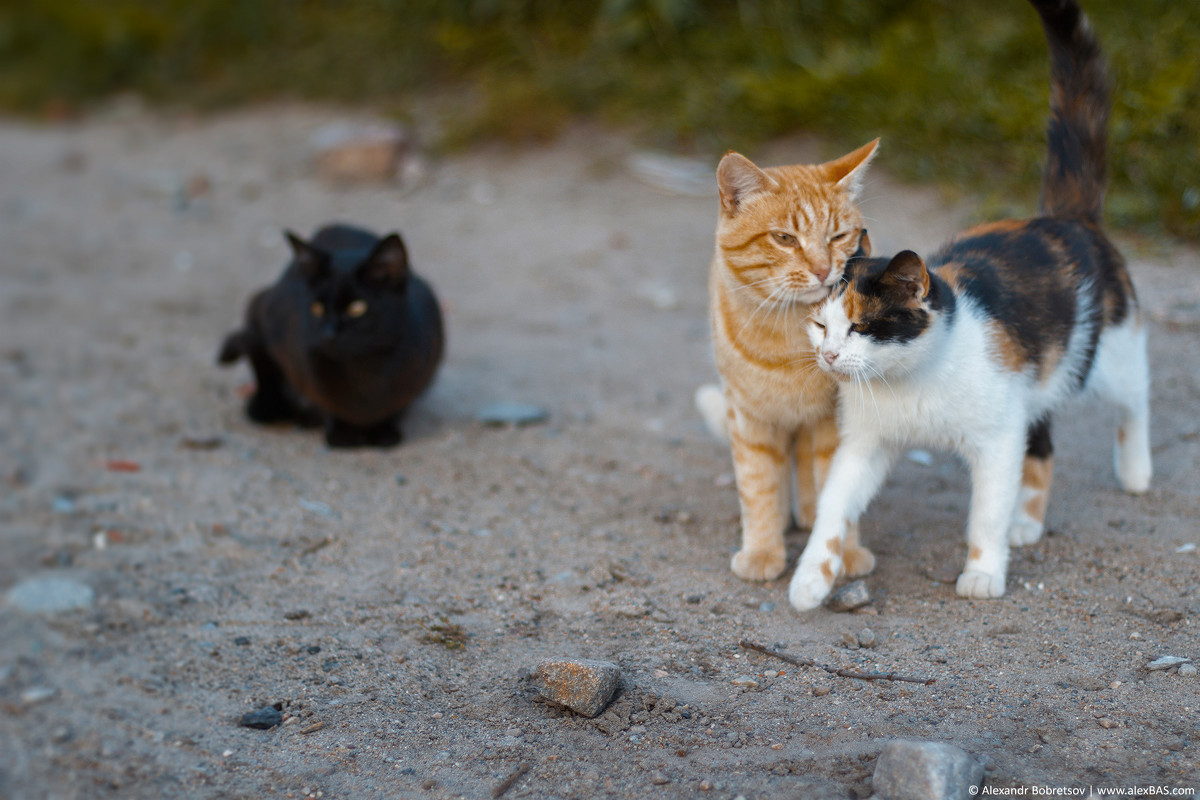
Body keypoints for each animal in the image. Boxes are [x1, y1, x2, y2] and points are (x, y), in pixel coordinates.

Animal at [218, 224, 444, 450]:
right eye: (317, 308)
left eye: (357, 308)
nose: (329, 333)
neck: (365, 371)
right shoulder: (270, 316)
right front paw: (342, 433)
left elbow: (396, 405)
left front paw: (383, 430)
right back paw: (268, 407)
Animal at [696, 142, 883, 582]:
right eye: (784, 238)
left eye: (838, 236)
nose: (822, 269)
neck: (790, 339)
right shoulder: (749, 418)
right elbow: (758, 485)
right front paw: (763, 550)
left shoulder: (835, 418)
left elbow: (840, 489)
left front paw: (845, 551)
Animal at [792, 0, 1147, 609]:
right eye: (820, 325)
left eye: (861, 327)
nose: (830, 357)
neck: (910, 381)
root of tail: (1064, 218)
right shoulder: (864, 443)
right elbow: (834, 507)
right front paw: (811, 577)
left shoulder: (997, 438)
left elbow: (985, 512)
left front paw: (982, 571)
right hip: (1040, 382)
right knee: (1043, 440)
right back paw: (1026, 522)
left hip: (1108, 356)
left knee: (1135, 398)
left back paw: (1136, 471)